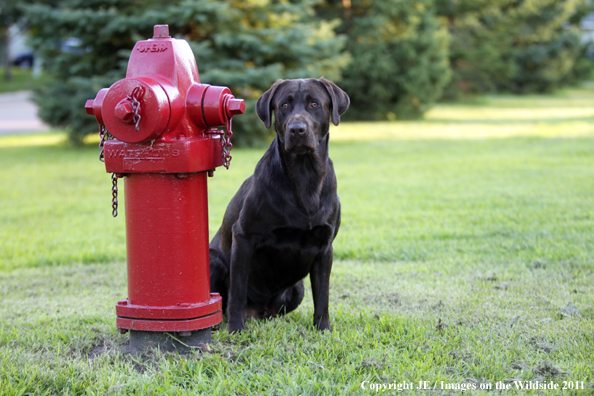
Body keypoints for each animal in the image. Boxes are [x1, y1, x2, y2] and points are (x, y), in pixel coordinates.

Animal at [208, 77, 346, 332]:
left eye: (314, 104)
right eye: (284, 105)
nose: (297, 129)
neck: (304, 175)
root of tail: (257, 311)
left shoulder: (325, 246)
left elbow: (322, 295)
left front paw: (324, 330)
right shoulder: (243, 237)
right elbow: (237, 290)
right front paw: (236, 329)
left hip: (297, 288)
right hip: (213, 261)